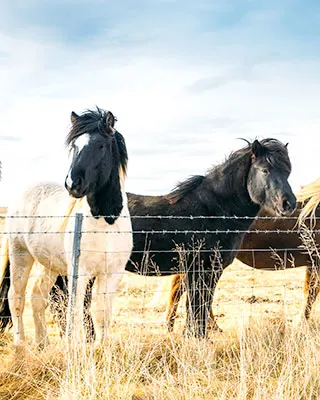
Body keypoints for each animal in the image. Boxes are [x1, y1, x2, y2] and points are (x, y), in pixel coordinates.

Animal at [0, 107, 132, 346]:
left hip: (49, 264)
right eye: (74, 146)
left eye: (100, 145)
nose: (72, 184)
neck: (105, 221)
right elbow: (76, 312)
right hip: (20, 254)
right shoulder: (79, 273)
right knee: (16, 296)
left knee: (37, 295)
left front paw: (103, 348)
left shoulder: (112, 273)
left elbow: (103, 314)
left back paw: (42, 344)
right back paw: (21, 344)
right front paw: (75, 348)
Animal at [51, 138, 296, 338]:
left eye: (287, 172)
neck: (213, 210)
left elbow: (199, 306)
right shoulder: (202, 269)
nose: (289, 204)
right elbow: (198, 306)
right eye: (265, 170)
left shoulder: (207, 270)